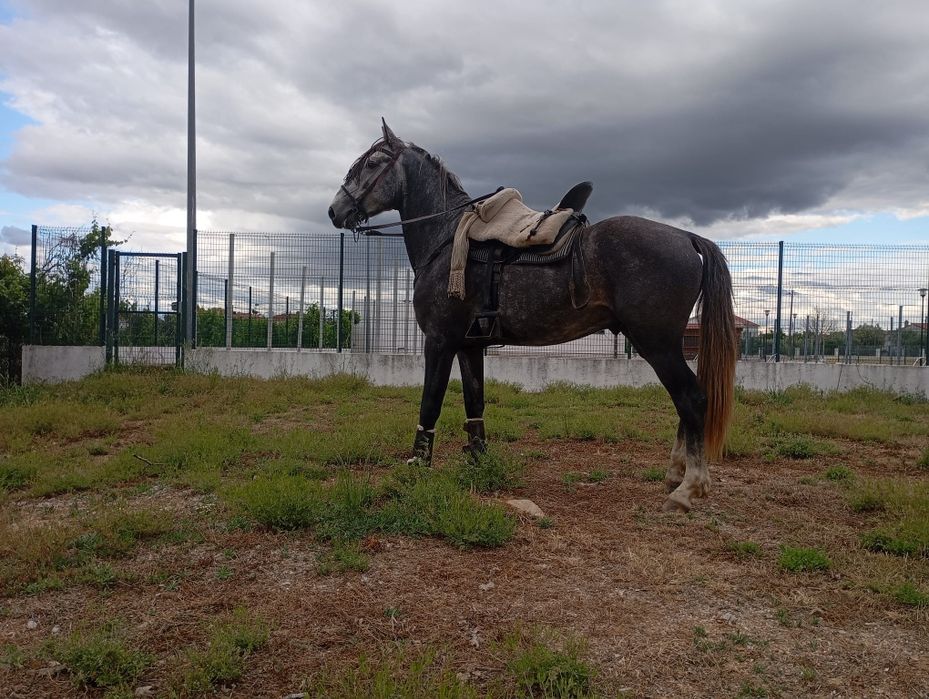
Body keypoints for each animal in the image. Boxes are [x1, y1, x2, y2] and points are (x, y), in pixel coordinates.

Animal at [329, 120, 737, 513]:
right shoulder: (469, 346)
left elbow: (431, 401)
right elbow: (475, 402)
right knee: (683, 402)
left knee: (691, 398)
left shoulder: (439, 342)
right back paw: (675, 475)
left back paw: (687, 488)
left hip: (658, 345)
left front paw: (418, 464)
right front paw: (478, 460)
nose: (335, 211)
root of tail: (685, 237)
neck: (448, 238)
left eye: (373, 163)